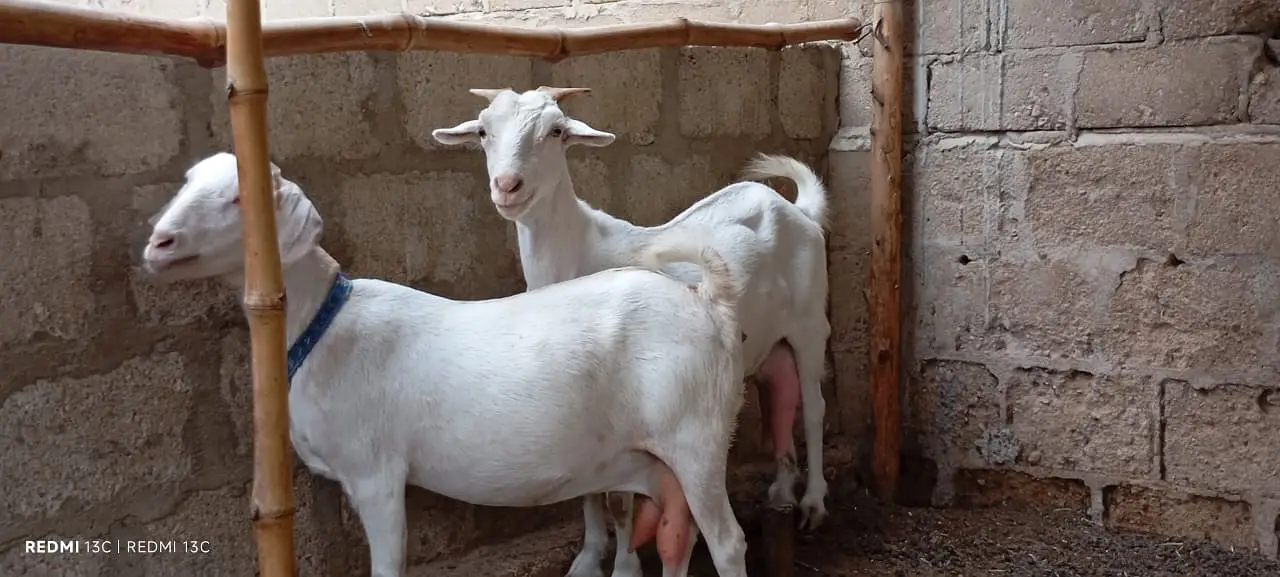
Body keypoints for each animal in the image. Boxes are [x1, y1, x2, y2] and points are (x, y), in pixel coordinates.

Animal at [138, 152, 751, 577]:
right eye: (188, 182)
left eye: (241, 199)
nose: (159, 243)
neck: (321, 325)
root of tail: (709, 303)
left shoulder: (376, 473)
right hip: (654, 459)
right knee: (677, 535)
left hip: (696, 436)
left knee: (726, 541)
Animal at [433, 86, 832, 577]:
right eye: (484, 131)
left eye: (557, 131)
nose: (508, 187)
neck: (579, 250)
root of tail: (796, 209)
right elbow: (588, 487)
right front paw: (588, 556)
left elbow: (620, 498)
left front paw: (624, 563)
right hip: (766, 342)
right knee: (779, 392)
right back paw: (781, 489)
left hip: (810, 322)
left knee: (813, 406)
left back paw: (813, 502)